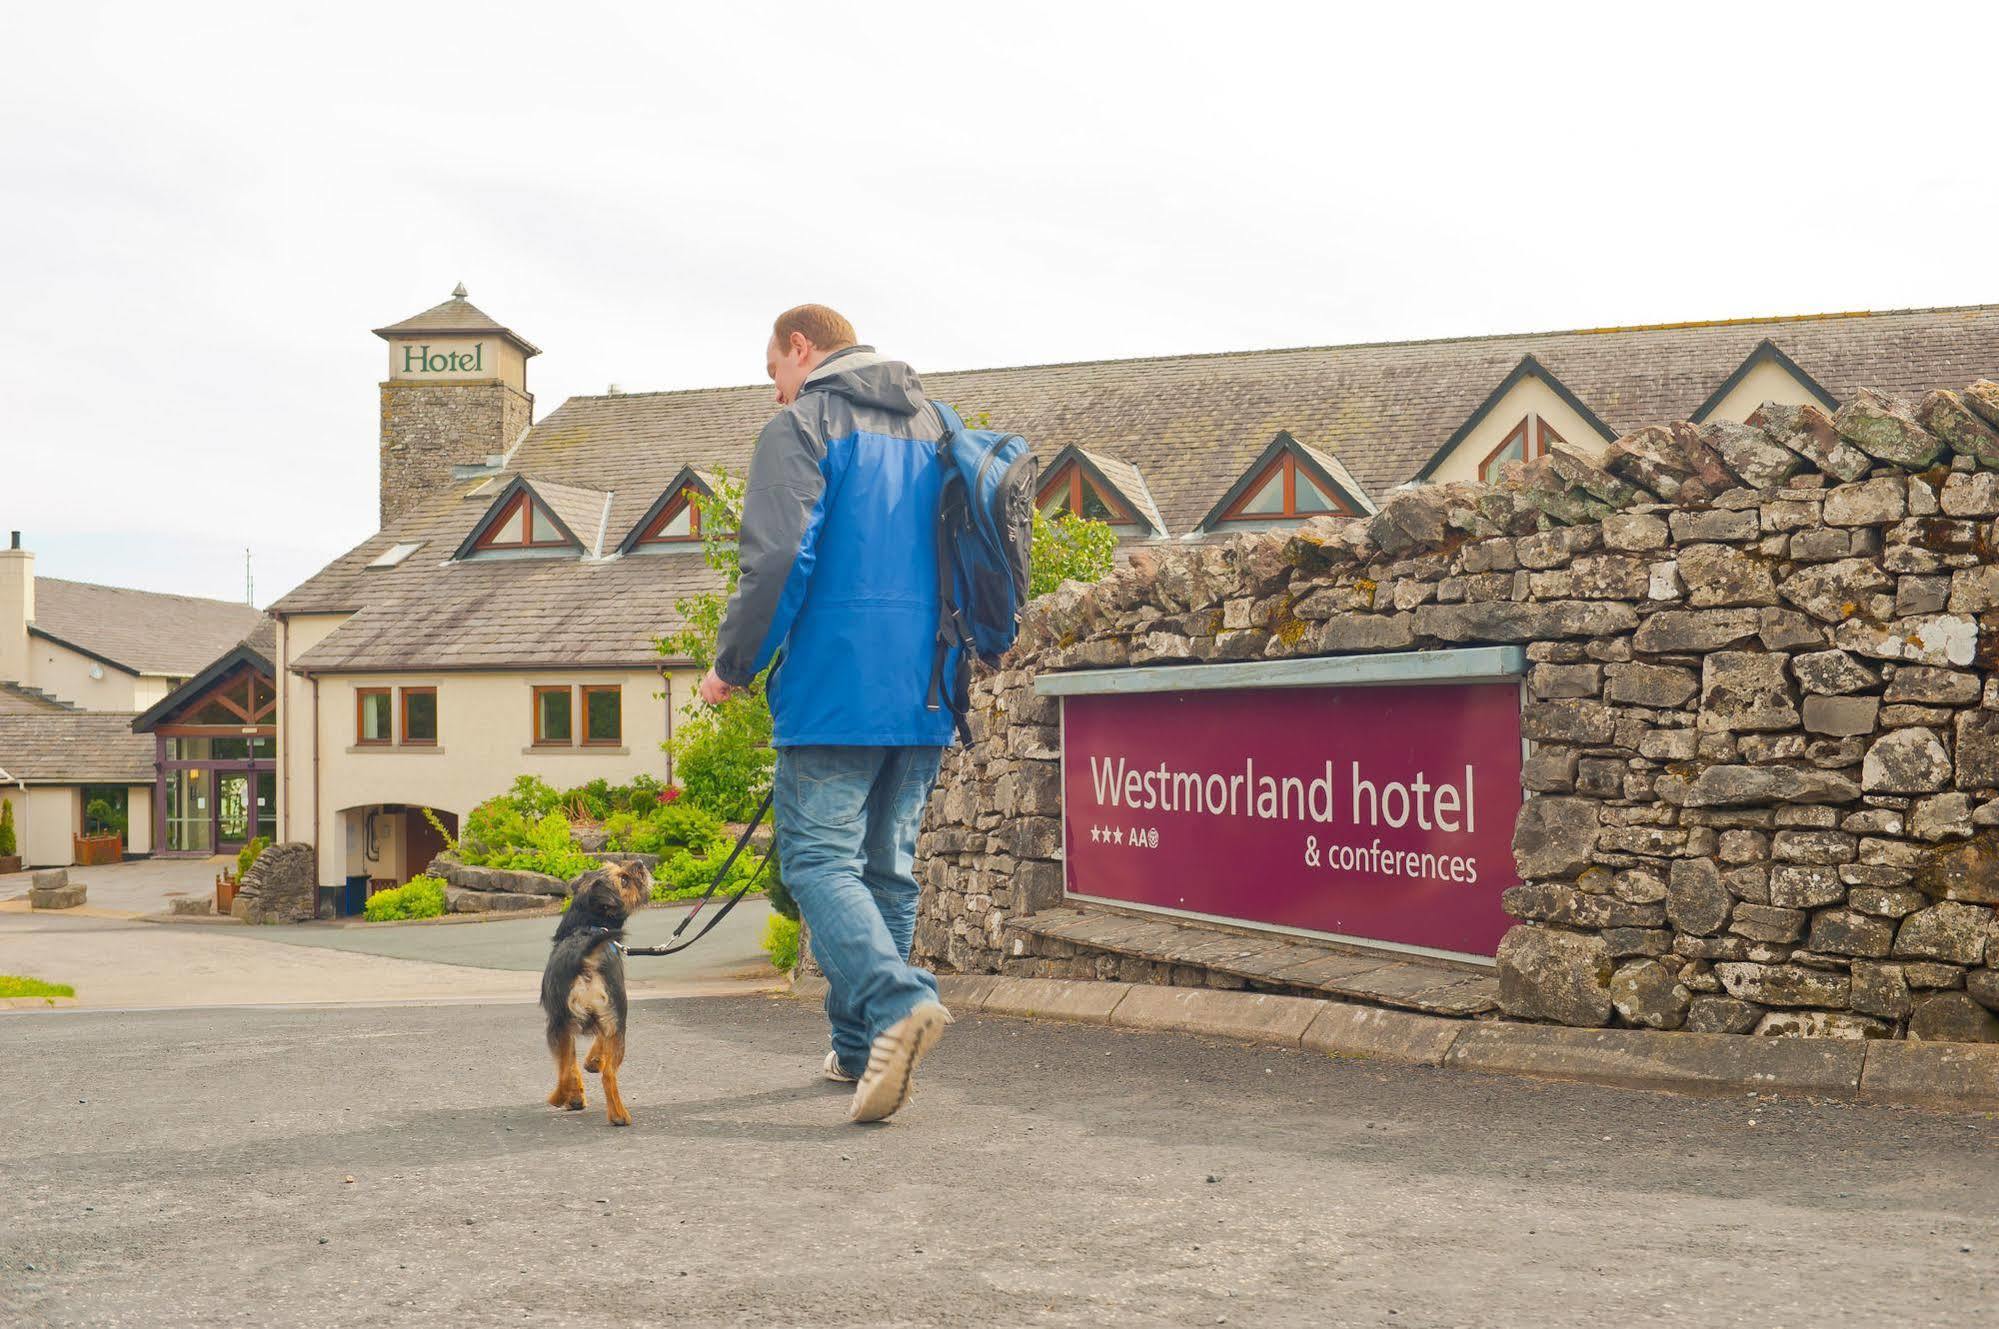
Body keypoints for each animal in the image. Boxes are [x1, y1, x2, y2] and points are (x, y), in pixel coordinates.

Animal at [535, 859, 651, 1119]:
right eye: (624, 879)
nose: (640, 862)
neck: (587, 924)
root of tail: (584, 958)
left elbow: (571, 1066)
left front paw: (576, 1095)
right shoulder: (611, 1018)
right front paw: (593, 1062)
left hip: (558, 1023)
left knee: (566, 1070)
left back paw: (563, 1098)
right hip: (613, 1016)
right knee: (607, 1073)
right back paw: (617, 1115)